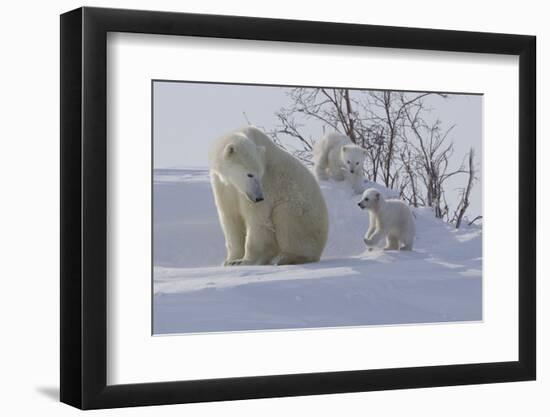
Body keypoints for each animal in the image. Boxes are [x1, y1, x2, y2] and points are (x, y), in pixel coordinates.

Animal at [207, 125, 328, 264]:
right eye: (250, 174)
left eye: (260, 174)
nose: (259, 197)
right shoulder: (224, 186)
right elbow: (230, 216)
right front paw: (230, 260)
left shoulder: (266, 185)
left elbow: (258, 219)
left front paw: (245, 261)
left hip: (306, 217)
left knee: (285, 216)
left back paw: (284, 258)